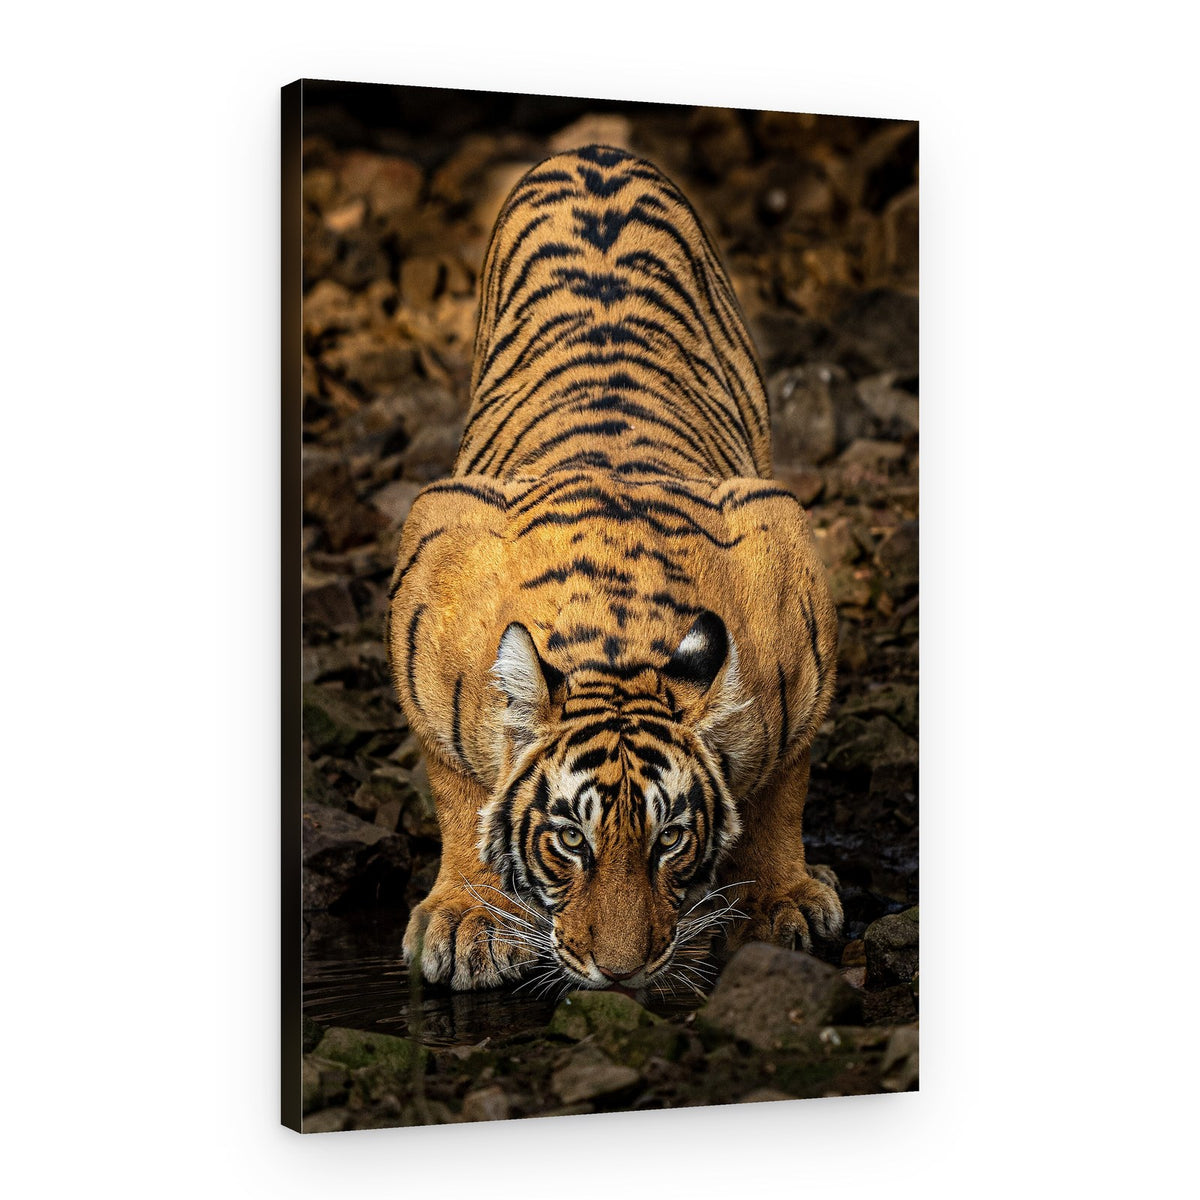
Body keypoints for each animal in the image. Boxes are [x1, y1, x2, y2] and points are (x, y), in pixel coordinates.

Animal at [386, 144, 841, 993]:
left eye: (671, 840)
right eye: (570, 840)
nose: (623, 972)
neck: (617, 641)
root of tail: (594, 151)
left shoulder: (791, 579)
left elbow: (781, 790)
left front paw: (777, 900)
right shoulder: (431, 579)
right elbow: (458, 789)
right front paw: (469, 916)